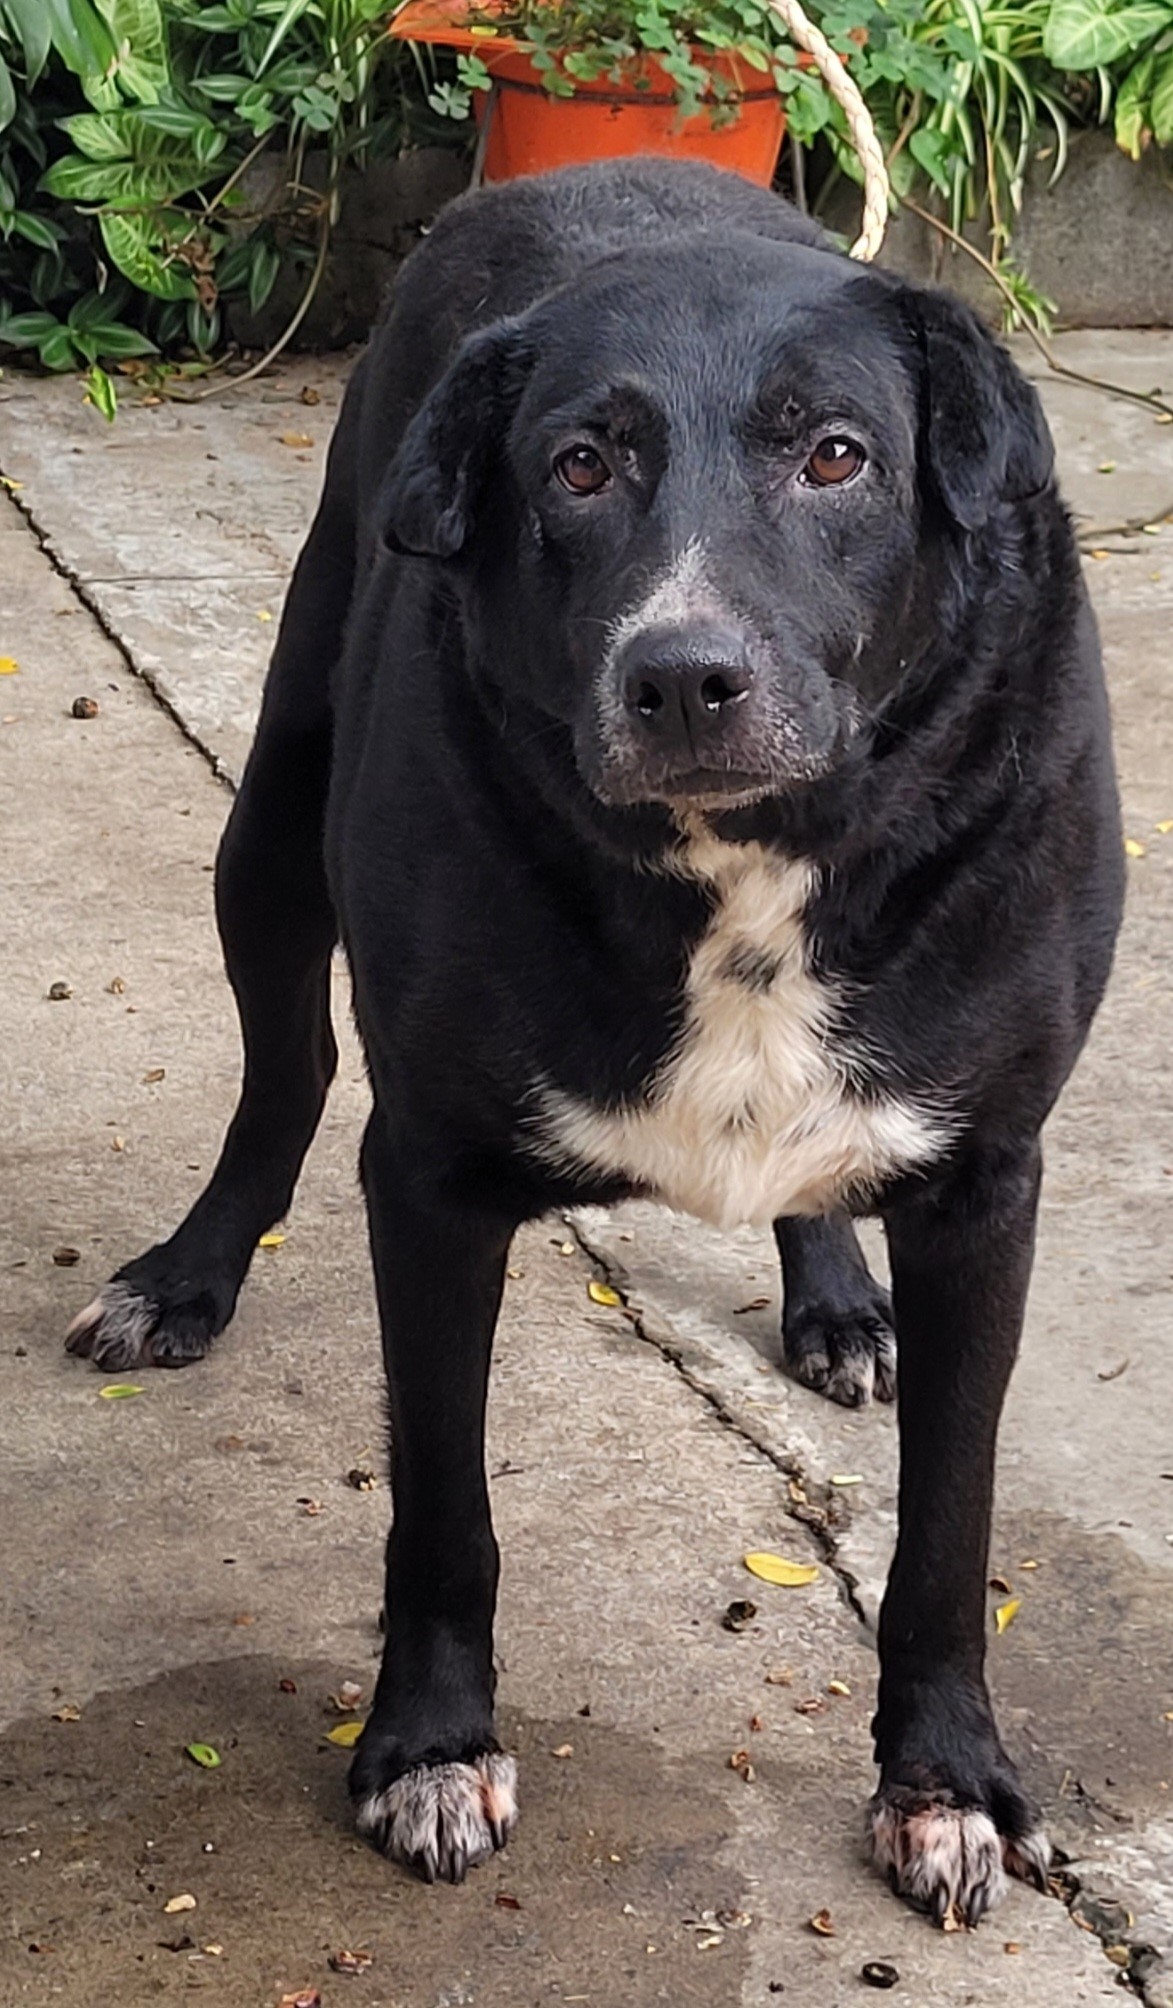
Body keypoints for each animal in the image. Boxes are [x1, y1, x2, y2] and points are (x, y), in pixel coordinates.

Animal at [66, 160, 1124, 1927]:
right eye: (578, 466)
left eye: (836, 453)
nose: (684, 678)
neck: (742, 861)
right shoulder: (428, 1175)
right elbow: (441, 1509)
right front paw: (428, 1747)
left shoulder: (989, 1179)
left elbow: (948, 1527)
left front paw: (946, 1782)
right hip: (270, 825)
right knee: (283, 1082)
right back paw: (187, 1274)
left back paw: (837, 1299)